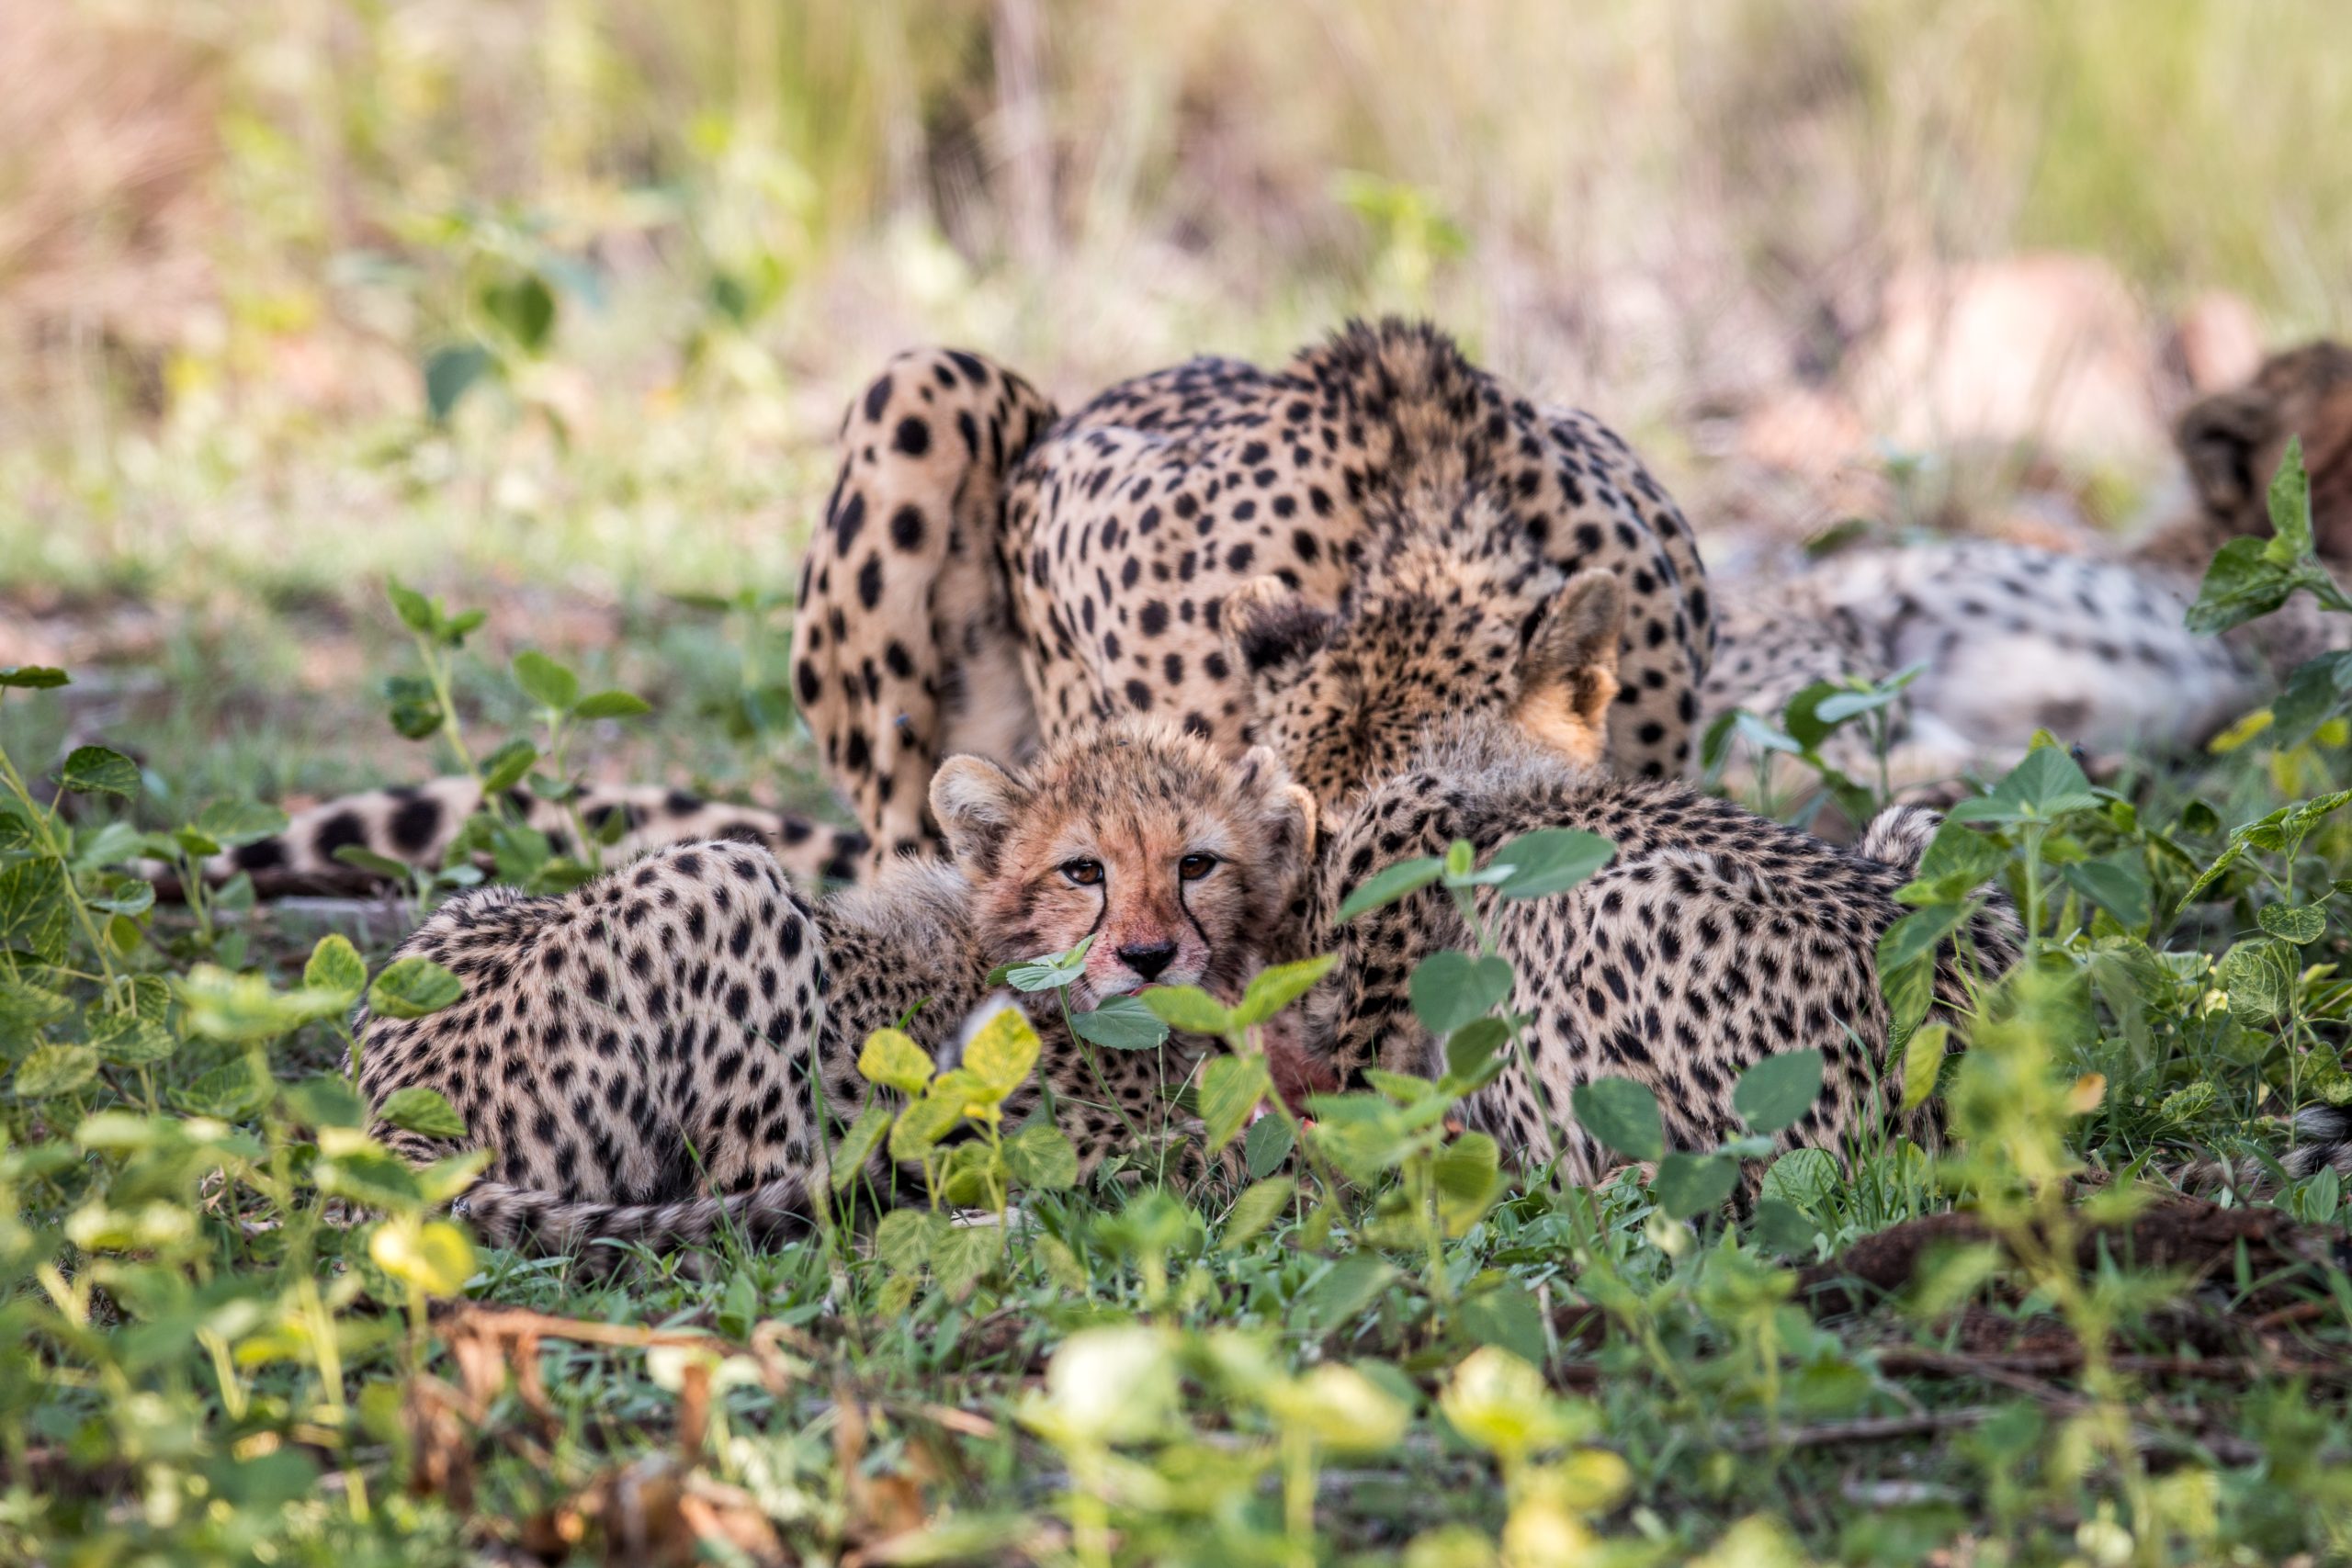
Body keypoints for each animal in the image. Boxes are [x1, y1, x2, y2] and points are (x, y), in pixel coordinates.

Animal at [350, 718, 1313, 1254]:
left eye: (1197, 864)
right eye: (1084, 870)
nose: (1150, 956)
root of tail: (388, 1105)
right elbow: (1235, 1161)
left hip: (471, 908)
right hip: (730, 873)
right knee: (767, 1199)